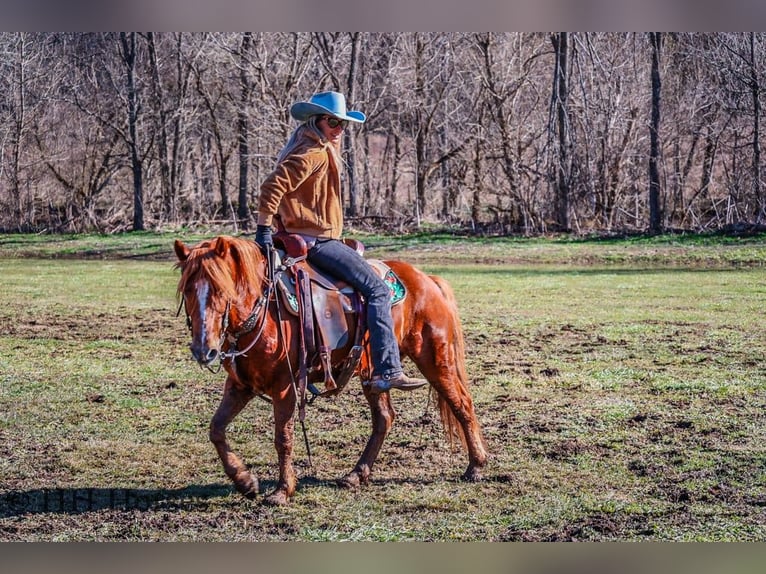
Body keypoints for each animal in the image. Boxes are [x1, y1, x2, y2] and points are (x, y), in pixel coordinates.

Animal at [173, 235, 487, 505]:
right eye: (187, 289)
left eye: (220, 288)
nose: (203, 350)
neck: (264, 309)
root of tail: (428, 280)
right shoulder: (240, 385)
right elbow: (216, 429)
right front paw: (245, 481)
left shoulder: (285, 386)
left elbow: (283, 437)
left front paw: (282, 490)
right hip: (373, 376)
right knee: (384, 418)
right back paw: (356, 474)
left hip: (436, 359)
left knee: (461, 403)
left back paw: (476, 465)